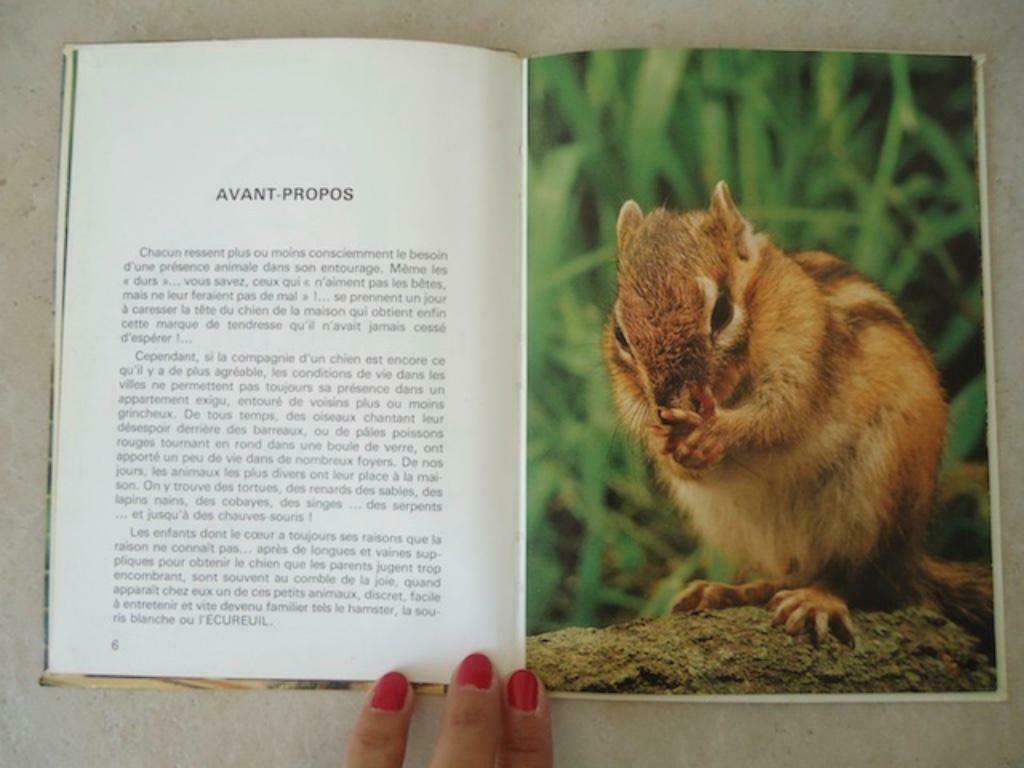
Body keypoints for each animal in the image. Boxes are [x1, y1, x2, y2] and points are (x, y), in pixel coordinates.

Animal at [604, 181, 993, 651]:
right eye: (621, 334)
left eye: (722, 312)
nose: (668, 402)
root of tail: (910, 560)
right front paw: (664, 444)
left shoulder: (805, 353)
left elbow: (781, 417)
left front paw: (718, 430)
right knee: (790, 574)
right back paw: (725, 591)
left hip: (874, 502)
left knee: (854, 577)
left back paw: (816, 601)